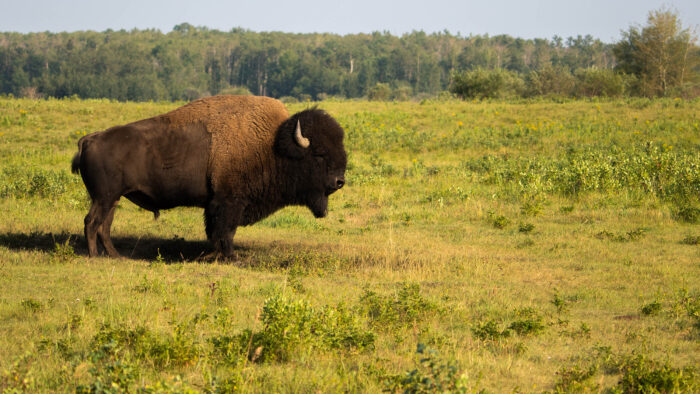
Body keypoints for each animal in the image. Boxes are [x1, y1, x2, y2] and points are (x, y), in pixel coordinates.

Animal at [71, 95, 348, 258]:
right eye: (320, 154)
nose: (339, 182)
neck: (272, 145)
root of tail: (89, 139)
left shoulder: (216, 204)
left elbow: (214, 231)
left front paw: (214, 255)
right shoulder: (230, 202)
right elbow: (225, 231)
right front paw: (231, 257)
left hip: (113, 198)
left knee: (104, 226)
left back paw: (115, 256)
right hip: (104, 198)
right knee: (92, 222)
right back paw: (94, 257)